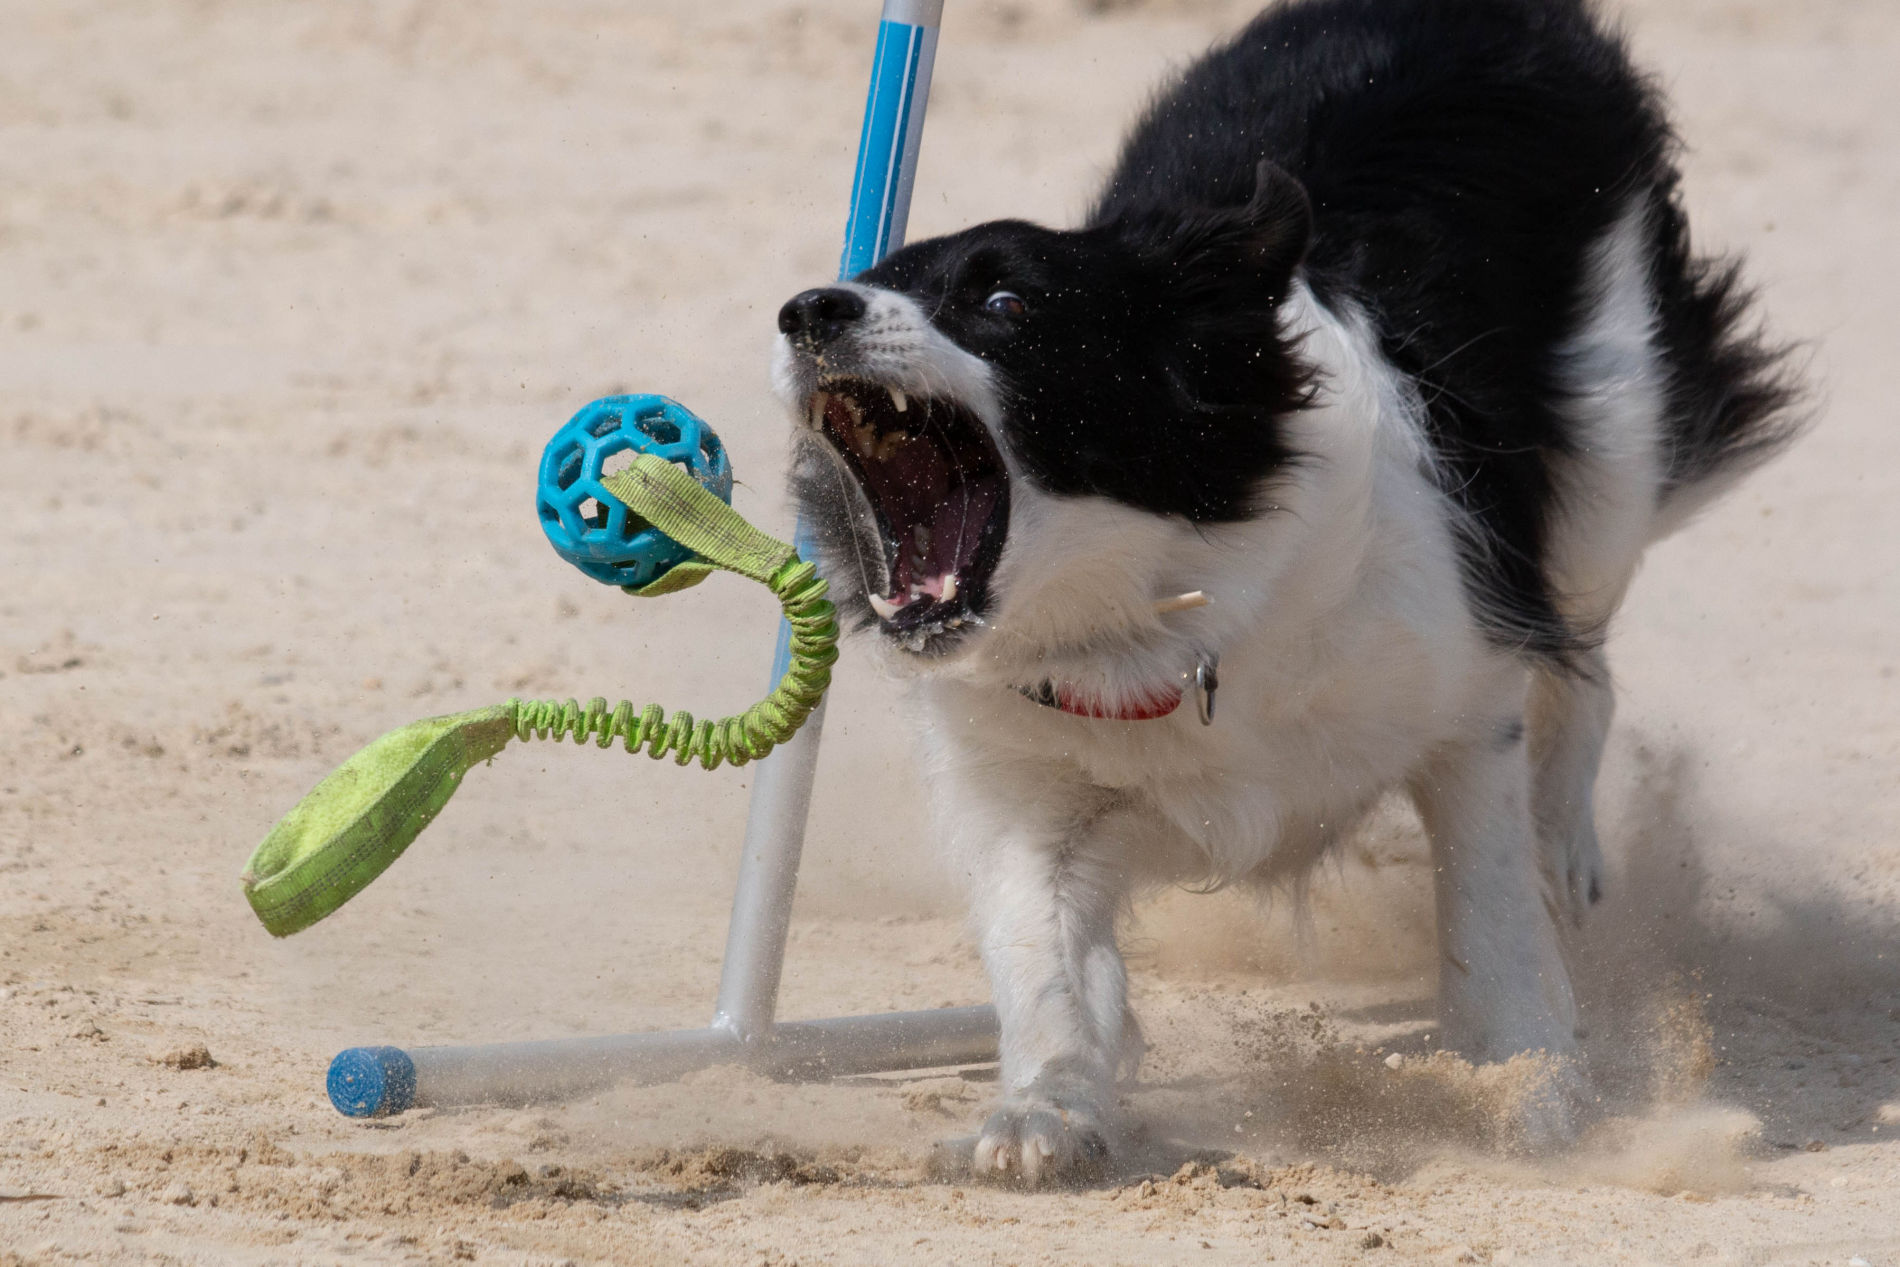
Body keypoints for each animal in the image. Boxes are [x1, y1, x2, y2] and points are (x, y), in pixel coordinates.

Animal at [767, 0, 1793, 1185]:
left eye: (1004, 298)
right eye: (876, 278)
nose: (808, 310)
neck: (1157, 614)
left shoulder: (1461, 701)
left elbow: (1486, 909)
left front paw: (1530, 1086)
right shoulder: (1027, 789)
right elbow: (1042, 959)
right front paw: (1042, 1110)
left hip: (1609, 450)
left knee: (1580, 649)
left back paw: (1566, 846)